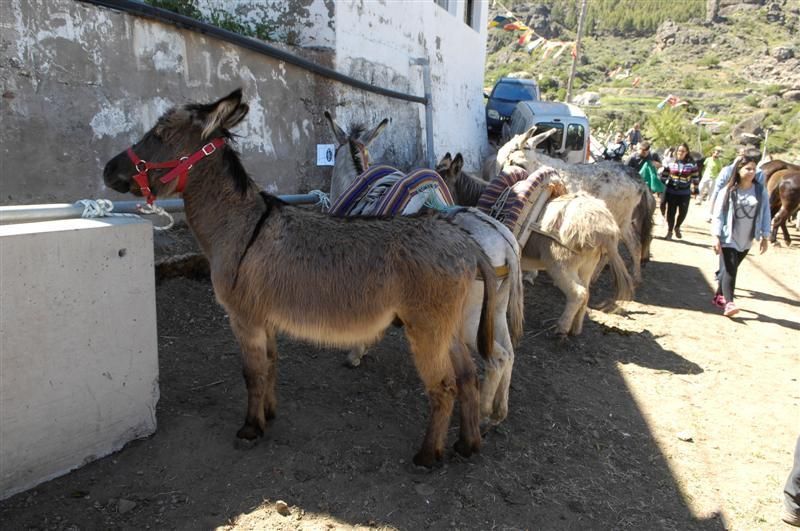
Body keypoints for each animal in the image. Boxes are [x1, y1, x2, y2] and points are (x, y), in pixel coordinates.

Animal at [103, 89, 496, 468]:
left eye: (160, 134)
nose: (108, 169)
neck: (239, 225)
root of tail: (464, 240)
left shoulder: (243, 318)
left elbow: (252, 372)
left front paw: (250, 428)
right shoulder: (264, 318)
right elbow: (271, 364)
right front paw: (269, 413)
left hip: (426, 329)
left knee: (443, 387)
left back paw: (427, 456)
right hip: (449, 327)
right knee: (467, 377)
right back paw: (468, 444)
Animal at [324, 110, 524, 426]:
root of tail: (504, 242)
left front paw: (355, 353)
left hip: (471, 318)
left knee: (498, 358)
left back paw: (481, 415)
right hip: (497, 308)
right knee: (511, 353)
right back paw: (499, 411)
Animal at [434, 154, 636, 336]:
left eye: (440, 184)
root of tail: (604, 227)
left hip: (559, 267)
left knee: (578, 293)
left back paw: (561, 329)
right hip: (586, 267)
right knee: (586, 293)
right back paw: (576, 328)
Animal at [494, 127, 656, 284]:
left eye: (517, 162)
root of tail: (639, 179)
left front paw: (530, 274)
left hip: (619, 219)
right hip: (624, 221)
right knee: (634, 244)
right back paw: (631, 277)